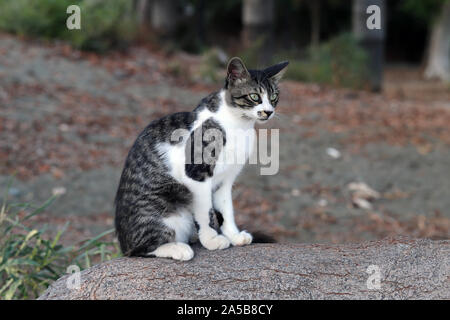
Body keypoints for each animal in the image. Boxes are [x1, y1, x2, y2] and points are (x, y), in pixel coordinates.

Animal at [114, 57, 286, 260]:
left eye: (274, 97)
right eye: (254, 96)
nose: (268, 111)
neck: (238, 124)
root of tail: (123, 242)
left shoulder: (226, 179)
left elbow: (226, 208)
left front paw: (234, 235)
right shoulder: (196, 174)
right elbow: (206, 211)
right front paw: (212, 239)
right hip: (168, 198)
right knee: (140, 249)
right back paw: (177, 248)